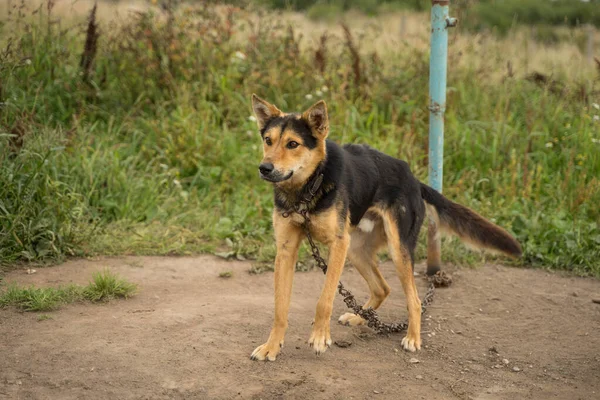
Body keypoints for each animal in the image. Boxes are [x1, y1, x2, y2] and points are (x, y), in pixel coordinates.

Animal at [248, 95, 520, 360]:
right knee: (383, 289)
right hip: (356, 250)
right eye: (268, 140)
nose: (264, 168)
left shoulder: (338, 244)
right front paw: (272, 346)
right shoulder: (286, 250)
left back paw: (412, 338)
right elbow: (280, 307)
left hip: (395, 249)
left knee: (415, 300)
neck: (307, 189)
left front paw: (319, 337)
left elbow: (324, 299)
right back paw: (361, 317)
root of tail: (413, 179)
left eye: (293, 144)